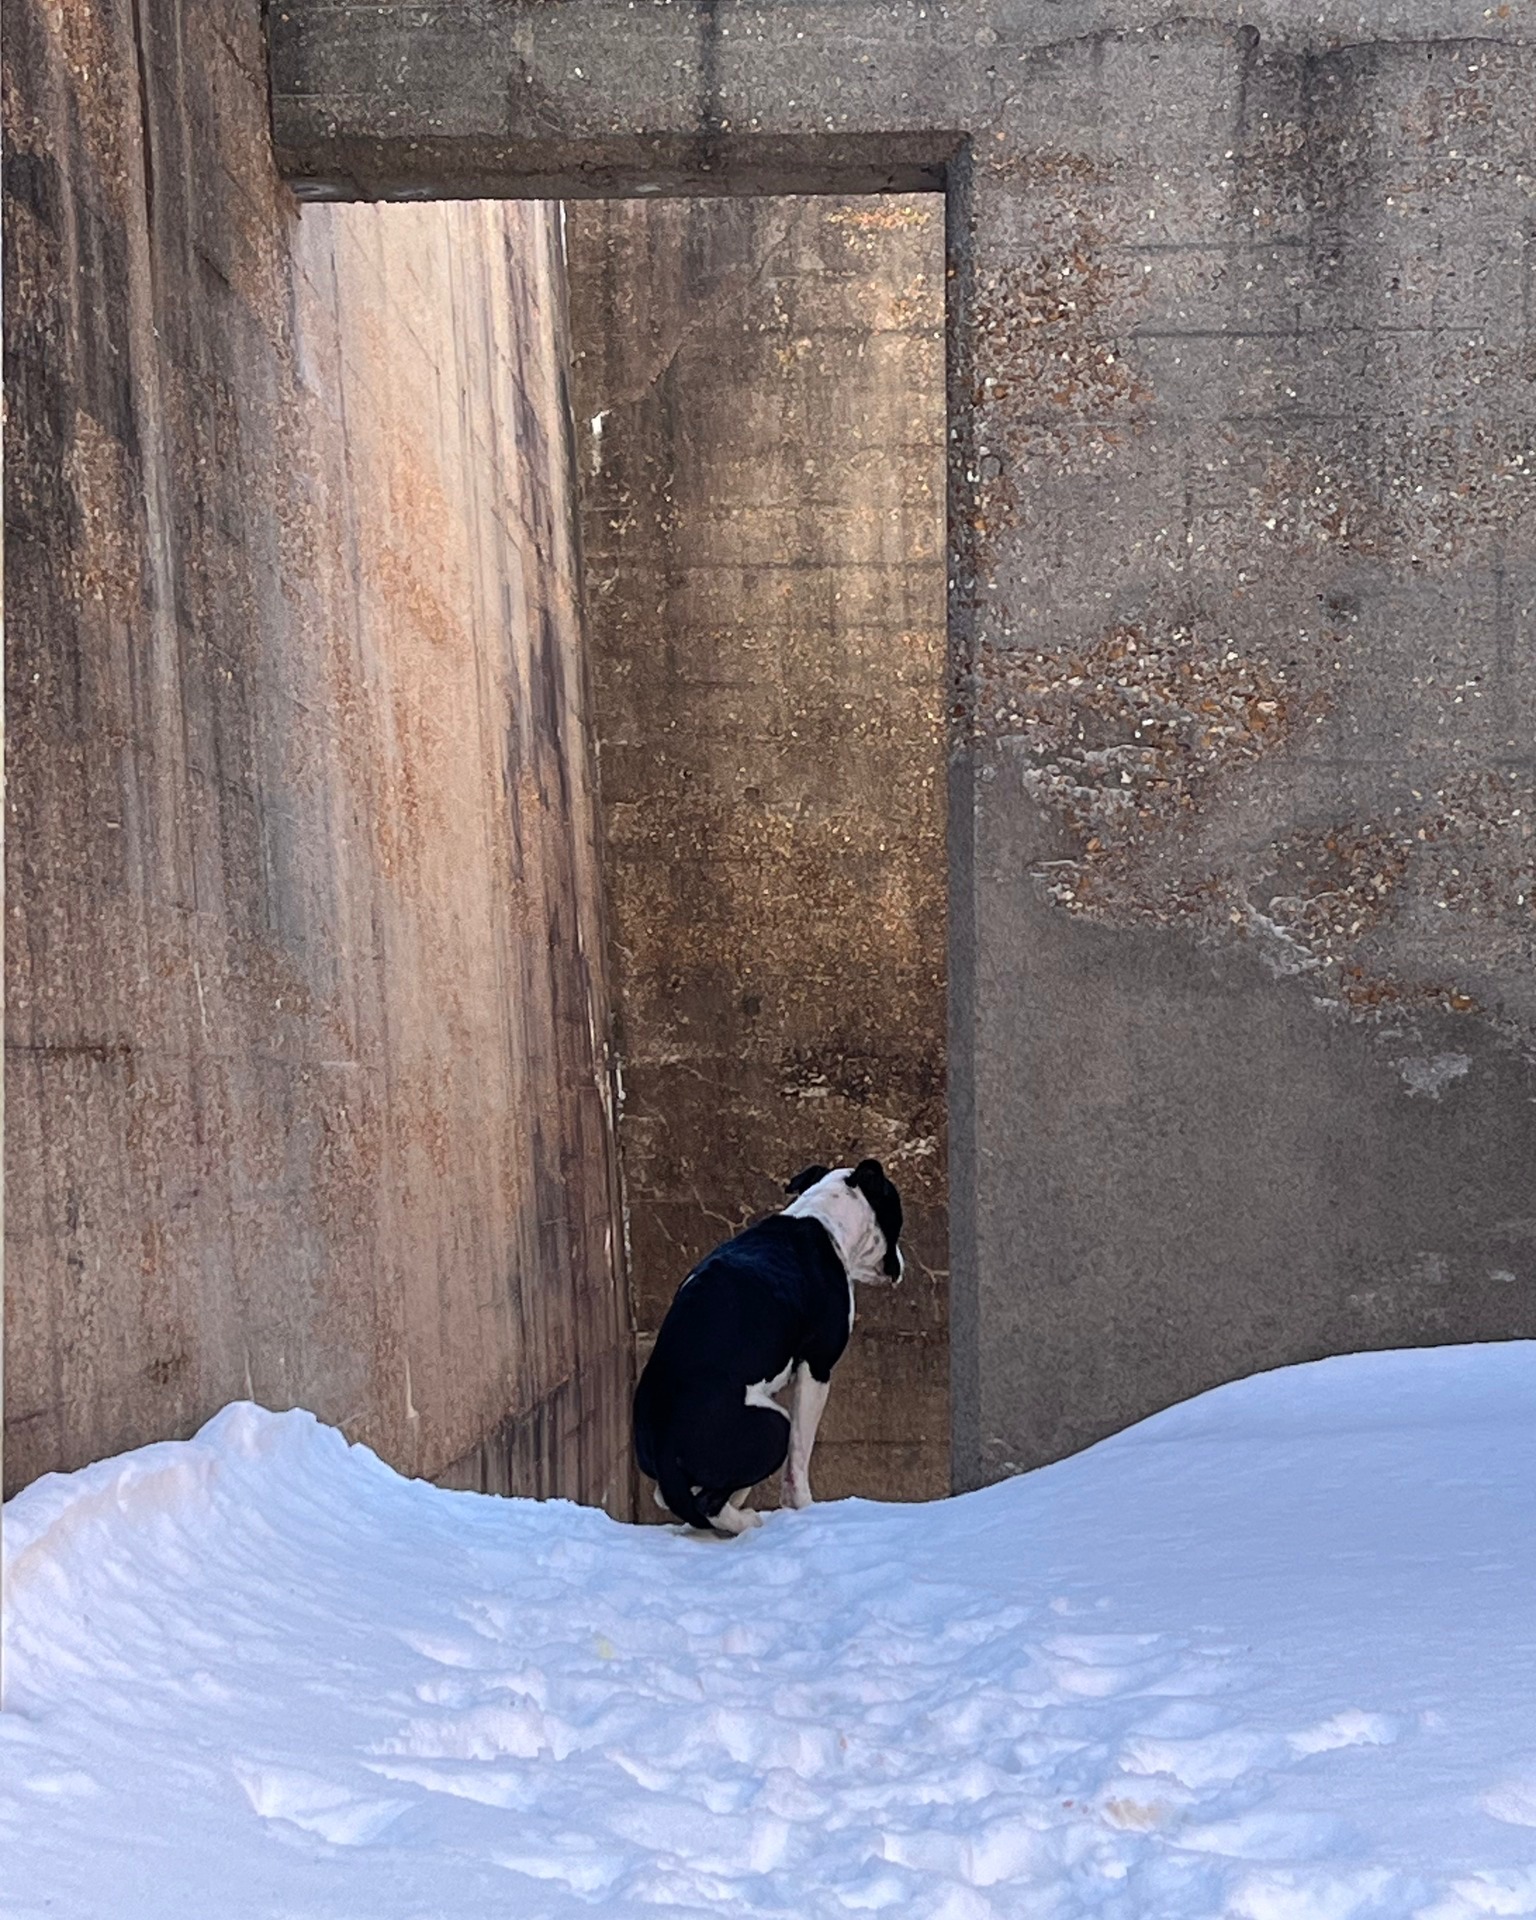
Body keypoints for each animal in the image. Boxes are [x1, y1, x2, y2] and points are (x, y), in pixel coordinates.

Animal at [633, 1159, 898, 1536]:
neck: (820, 1217)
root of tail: (665, 1445)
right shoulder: (817, 1368)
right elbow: (801, 1454)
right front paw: (803, 1507)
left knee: (675, 1497)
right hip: (774, 1425)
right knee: (707, 1503)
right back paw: (745, 1520)